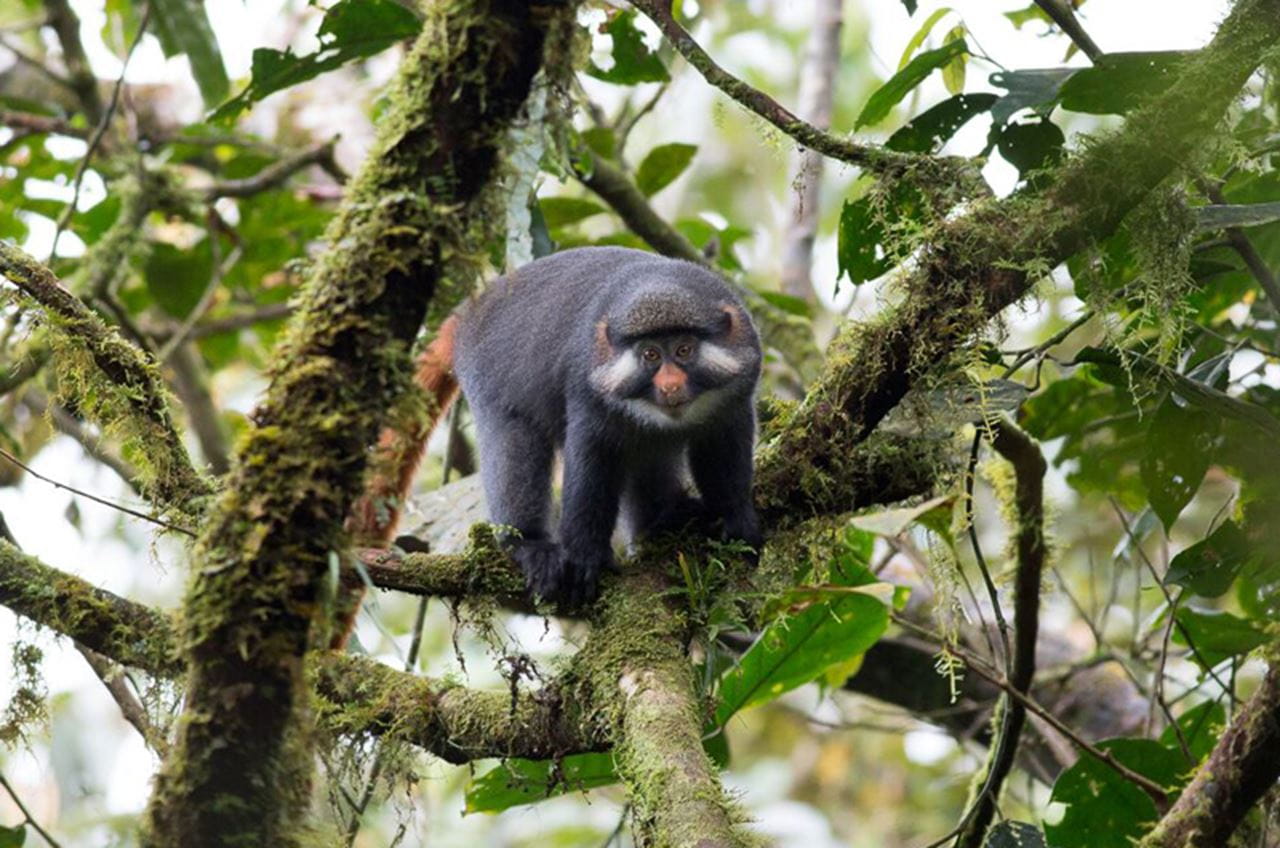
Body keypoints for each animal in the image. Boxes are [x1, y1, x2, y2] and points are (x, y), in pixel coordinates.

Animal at [343, 246, 762, 630]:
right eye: (650, 356)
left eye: (684, 350)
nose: (671, 384)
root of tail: (477, 303)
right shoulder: (590, 386)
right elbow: (591, 459)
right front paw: (585, 558)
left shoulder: (740, 380)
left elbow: (725, 442)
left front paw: (732, 513)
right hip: (487, 375)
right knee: (515, 441)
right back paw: (529, 544)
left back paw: (664, 520)